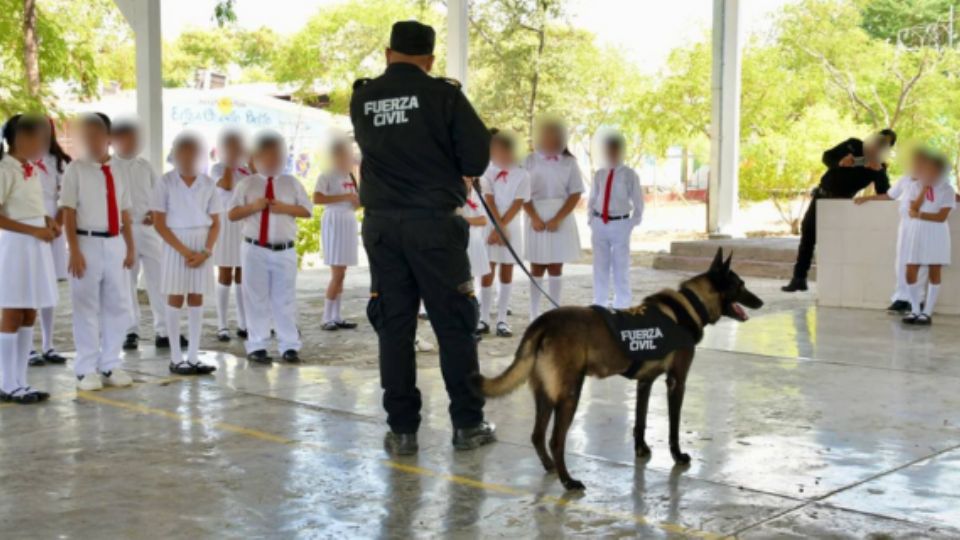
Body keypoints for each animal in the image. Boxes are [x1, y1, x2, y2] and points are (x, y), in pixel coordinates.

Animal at [474, 249, 764, 490]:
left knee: (536, 435)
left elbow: (640, 421)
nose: (760, 302)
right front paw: (677, 456)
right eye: (741, 285)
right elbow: (673, 427)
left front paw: (641, 449)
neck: (692, 303)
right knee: (556, 440)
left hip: (546, 395)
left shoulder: (645, 383)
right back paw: (568, 481)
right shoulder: (676, 382)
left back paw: (551, 468)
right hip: (569, 395)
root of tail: (543, 322)